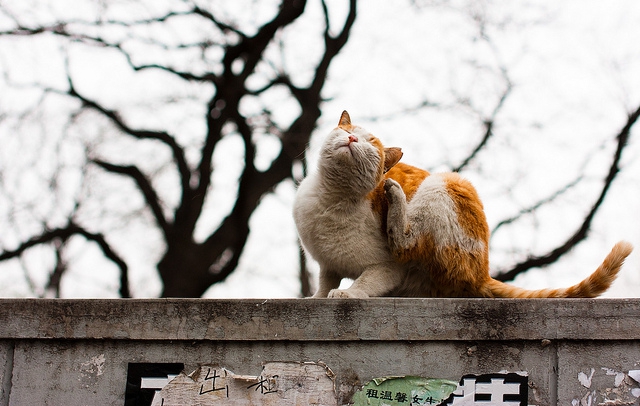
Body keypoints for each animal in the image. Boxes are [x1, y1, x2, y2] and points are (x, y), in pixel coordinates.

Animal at [292, 111, 632, 298]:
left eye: (371, 144)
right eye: (347, 130)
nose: (352, 140)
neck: (332, 199)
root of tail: (483, 273)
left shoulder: (387, 268)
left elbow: (365, 282)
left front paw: (347, 293)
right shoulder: (327, 264)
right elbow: (324, 281)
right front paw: (317, 297)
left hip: (444, 184)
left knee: (406, 243)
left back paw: (395, 195)